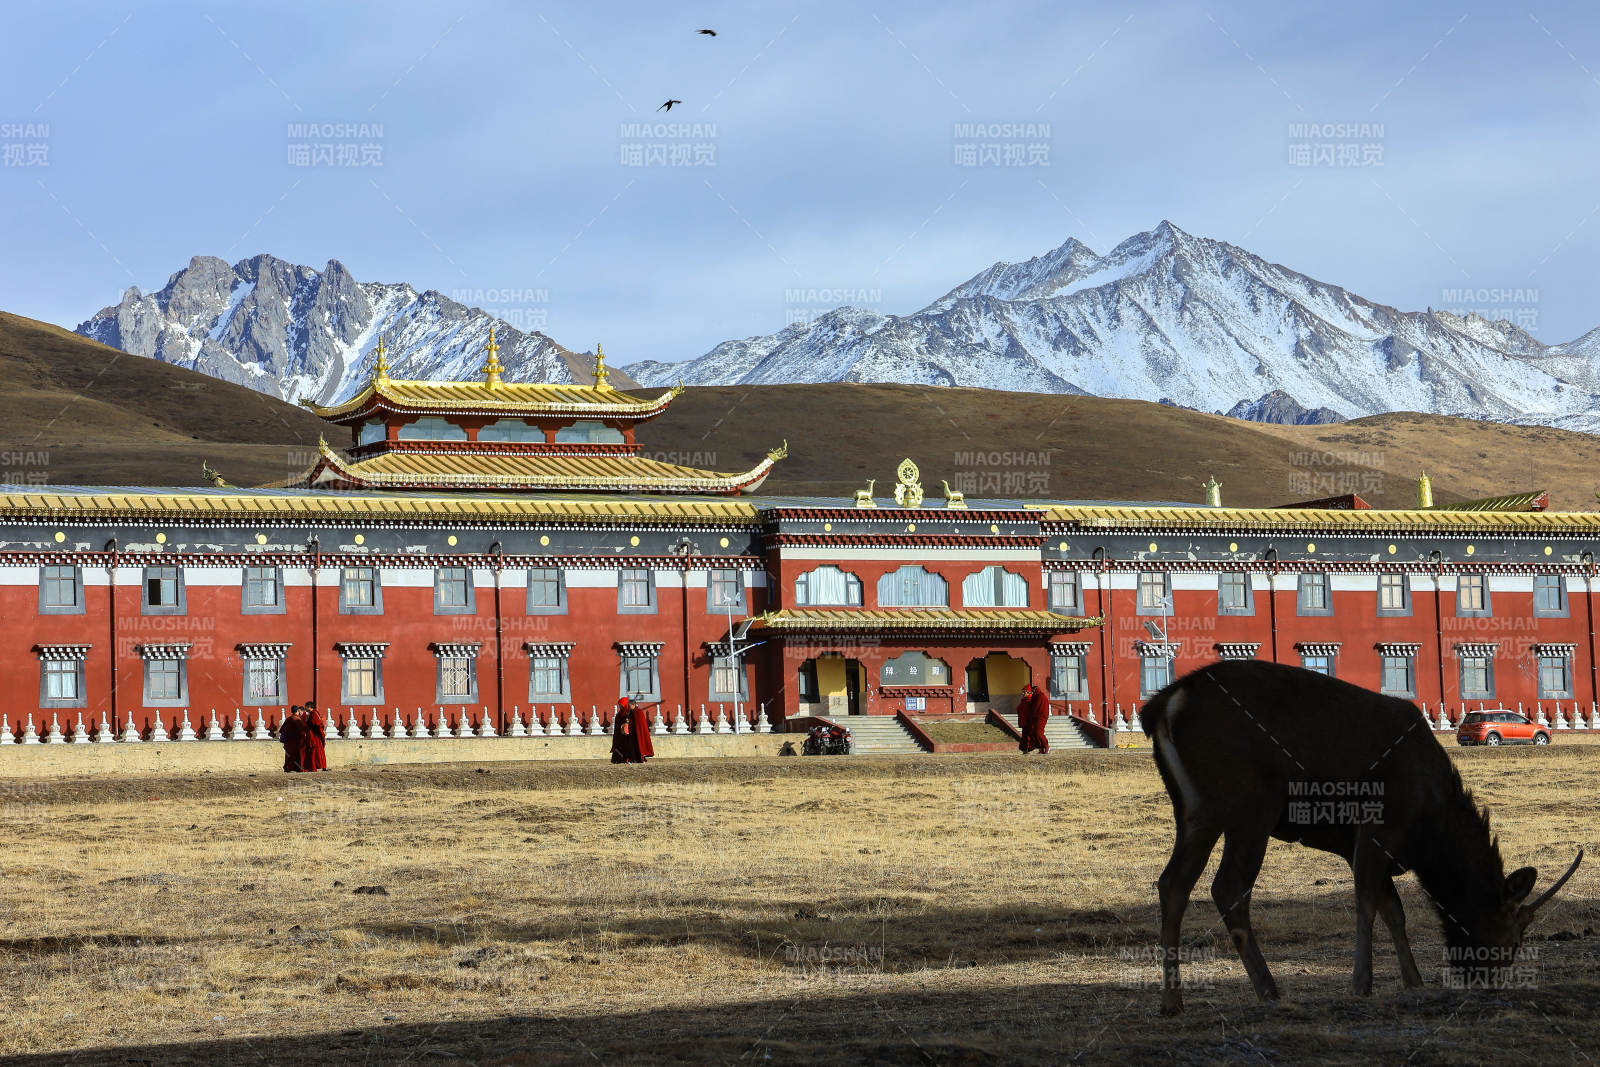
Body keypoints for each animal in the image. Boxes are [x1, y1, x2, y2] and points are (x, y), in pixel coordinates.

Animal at [1141, 659, 1582, 1015]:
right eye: (1512, 938)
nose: (1486, 983)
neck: (1429, 830)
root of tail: (1165, 704)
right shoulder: (1377, 827)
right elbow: (1368, 902)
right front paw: (1361, 983)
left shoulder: (1368, 846)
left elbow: (1394, 911)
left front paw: (1414, 980)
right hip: (1251, 806)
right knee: (1227, 887)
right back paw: (1269, 989)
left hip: (1195, 811)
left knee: (1172, 883)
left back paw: (1171, 1000)